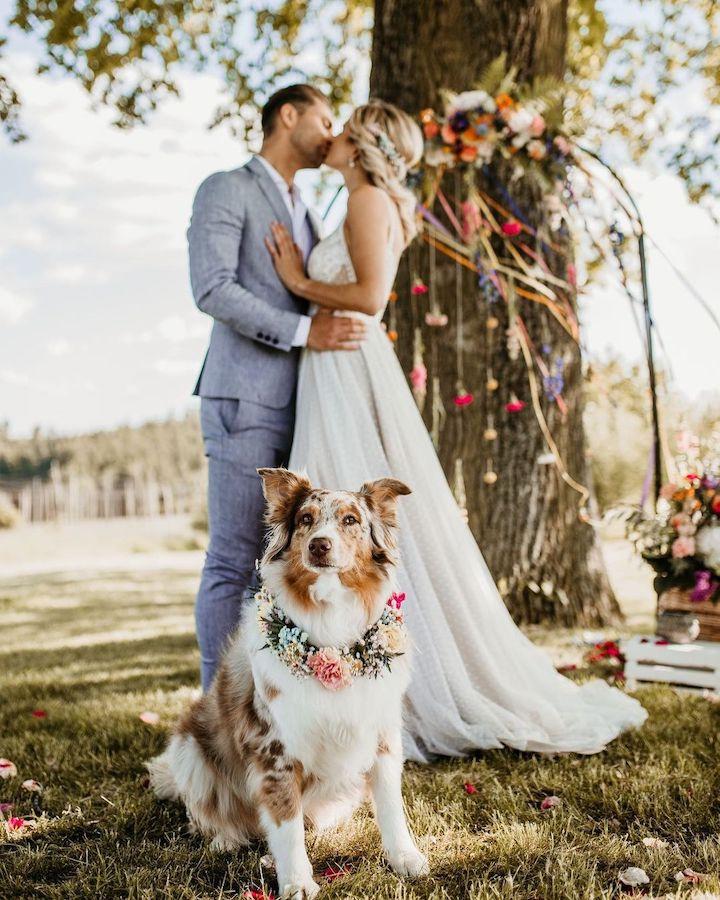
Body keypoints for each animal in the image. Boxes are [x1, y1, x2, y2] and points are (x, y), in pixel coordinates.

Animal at [147, 468, 428, 896]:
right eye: (305, 519)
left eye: (350, 520)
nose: (319, 546)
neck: (332, 626)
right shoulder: (273, 749)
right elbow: (285, 824)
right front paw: (296, 883)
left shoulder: (380, 735)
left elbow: (391, 808)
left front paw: (405, 859)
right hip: (189, 747)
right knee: (211, 812)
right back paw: (226, 839)